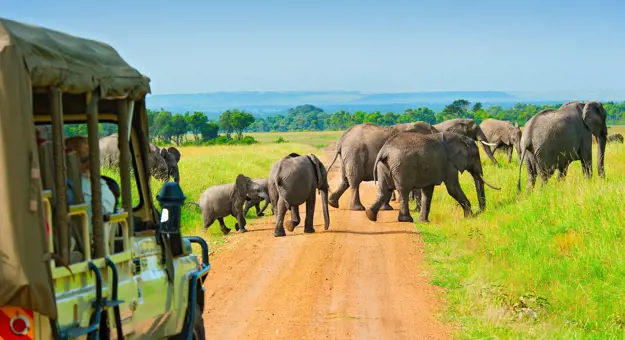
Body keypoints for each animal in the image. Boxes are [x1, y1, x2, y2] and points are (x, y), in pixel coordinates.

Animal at [364, 130, 500, 223]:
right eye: (476, 156)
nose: (478, 213)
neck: (459, 138)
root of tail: (384, 151)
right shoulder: (449, 164)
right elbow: (452, 188)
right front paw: (469, 217)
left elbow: (428, 191)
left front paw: (424, 222)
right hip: (401, 166)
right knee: (403, 190)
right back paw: (406, 220)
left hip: (383, 166)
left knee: (384, 189)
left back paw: (370, 215)